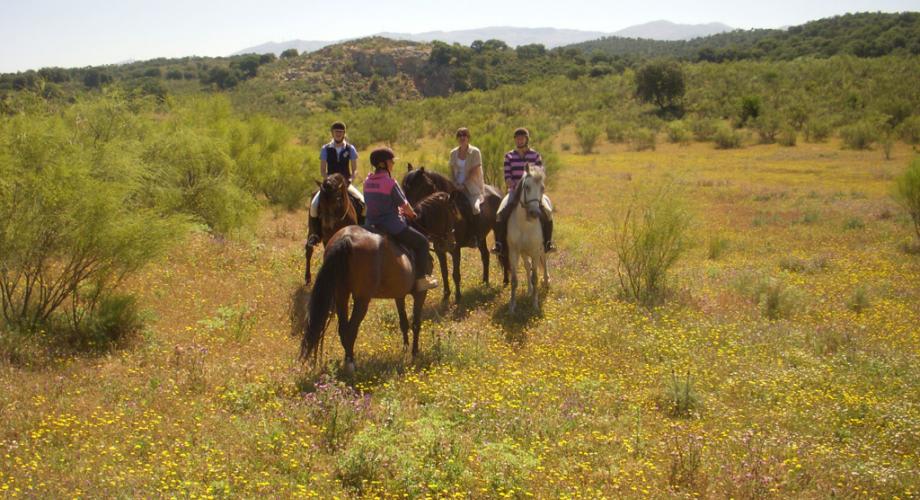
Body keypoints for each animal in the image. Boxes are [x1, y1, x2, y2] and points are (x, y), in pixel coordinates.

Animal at [302, 193, 456, 374]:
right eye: (452, 211)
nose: (451, 243)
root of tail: (346, 238)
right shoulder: (420, 294)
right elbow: (416, 323)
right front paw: (414, 353)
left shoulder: (399, 294)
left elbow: (404, 322)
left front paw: (405, 349)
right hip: (362, 299)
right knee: (351, 329)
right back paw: (351, 365)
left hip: (341, 295)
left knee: (343, 329)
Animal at [400, 166, 504, 302]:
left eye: (417, 186)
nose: (405, 211)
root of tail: (498, 192)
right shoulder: (439, 250)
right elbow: (444, 272)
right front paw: (446, 295)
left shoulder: (455, 249)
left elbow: (455, 273)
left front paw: (458, 297)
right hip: (481, 237)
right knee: (485, 256)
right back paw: (485, 282)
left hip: (498, 230)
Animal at [506, 165, 548, 312]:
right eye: (527, 187)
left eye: (542, 188)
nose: (534, 213)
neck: (525, 224)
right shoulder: (514, 252)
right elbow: (514, 280)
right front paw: (512, 306)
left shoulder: (535, 251)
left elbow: (535, 277)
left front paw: (535, 304)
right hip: (524, 252)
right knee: (527, 266)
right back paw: (529, 291)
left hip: (542, 249)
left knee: (544, 262)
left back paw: (546, 282)